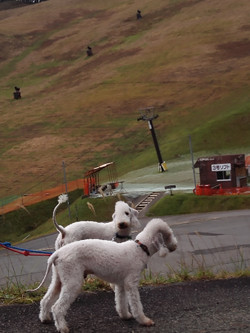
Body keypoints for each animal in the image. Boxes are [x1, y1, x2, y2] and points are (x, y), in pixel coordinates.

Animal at [30, 218, 177, 332]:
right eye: (169, 234)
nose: (175, 246)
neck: (140, 248)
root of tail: (57, 253)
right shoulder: (131, 284)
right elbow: (136, 305)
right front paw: (144, 320)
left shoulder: (121, 284)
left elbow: (120, 302)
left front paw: (125, 315)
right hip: (73, 280)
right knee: (57, 308)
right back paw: (62, 328)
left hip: (58, 278)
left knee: (46, 299)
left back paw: (44, 318)